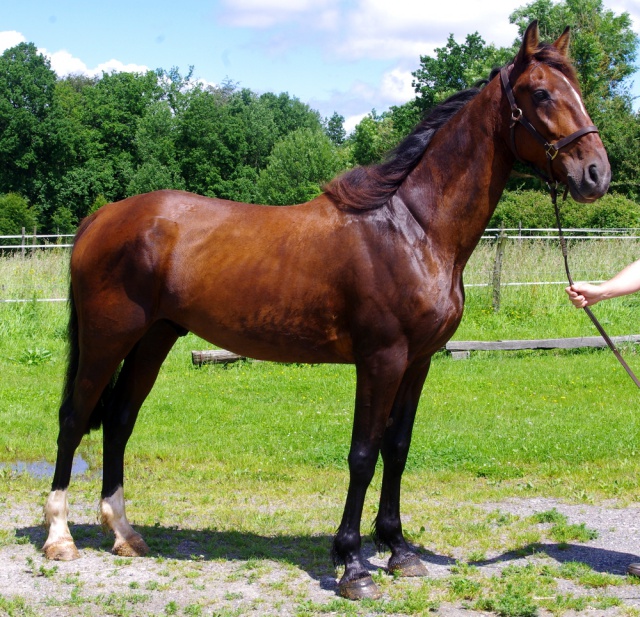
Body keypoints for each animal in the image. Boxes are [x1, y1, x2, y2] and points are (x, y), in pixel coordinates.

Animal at [45, 21, 608, 600]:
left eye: (578, 91)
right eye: (540, 93)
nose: (596, 174)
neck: (415, 228)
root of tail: (103, 217)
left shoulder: (418, 361)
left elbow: (397, 448)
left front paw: (398, 550)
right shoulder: (381, 359)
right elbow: (363, 454)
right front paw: (353, 564)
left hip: (153, 338)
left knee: (119, 419)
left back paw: (124, 533)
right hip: (107, 340)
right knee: (74, 419)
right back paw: (60, 538)